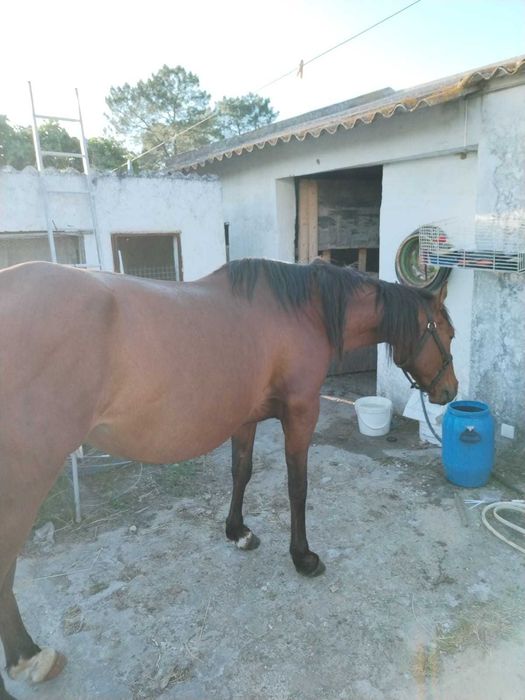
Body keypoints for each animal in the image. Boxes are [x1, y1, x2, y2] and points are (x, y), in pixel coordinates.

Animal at [0, 257, 457, 699]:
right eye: (449, 335)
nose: (450, 392)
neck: (302, 311)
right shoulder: (301, 412)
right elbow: (297, 486)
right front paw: (303, 557)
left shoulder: (245, 417)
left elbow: (242, 472)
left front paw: (238, 532)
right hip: (27, 479)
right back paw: (29, 656)